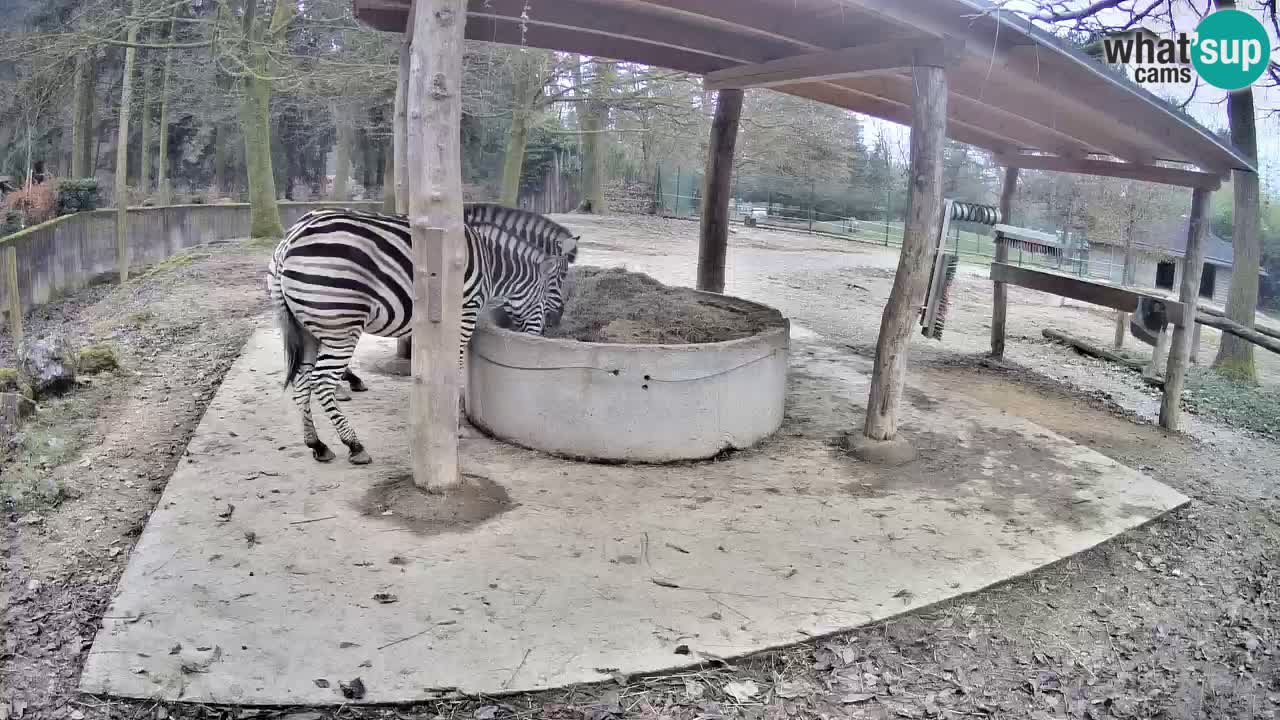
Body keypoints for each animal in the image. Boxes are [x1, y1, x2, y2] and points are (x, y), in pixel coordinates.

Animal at [267, 203, 579, 465]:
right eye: (559, 281)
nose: (554, 324)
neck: (491, 261)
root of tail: (287, 243)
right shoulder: (464, 315)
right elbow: (457, 368)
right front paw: (455, 425)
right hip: (340, 326)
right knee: (321, 382)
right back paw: (354, 444)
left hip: (306, 329)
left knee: (302, 381)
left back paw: (317, 444)